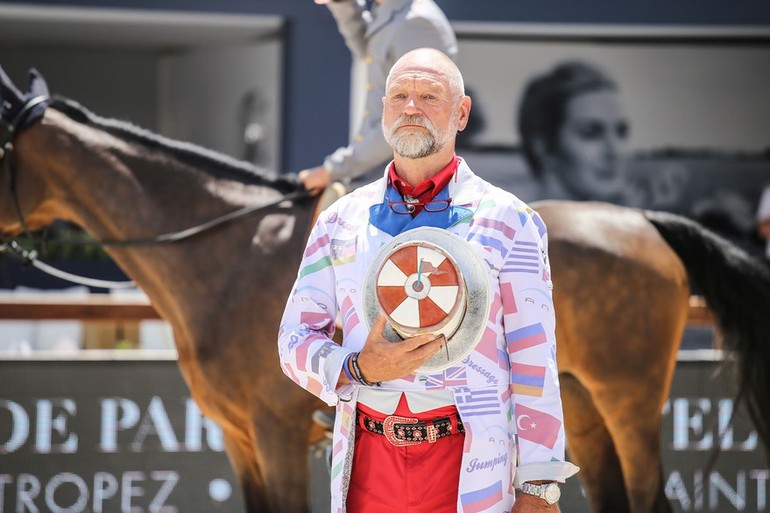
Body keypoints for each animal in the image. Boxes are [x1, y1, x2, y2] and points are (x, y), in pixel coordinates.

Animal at [1, 68, 768, 512]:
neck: (228, 254)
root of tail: (645, 223)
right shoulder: (239, 437)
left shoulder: (276, 435)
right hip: (577, 403)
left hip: (629, 402)